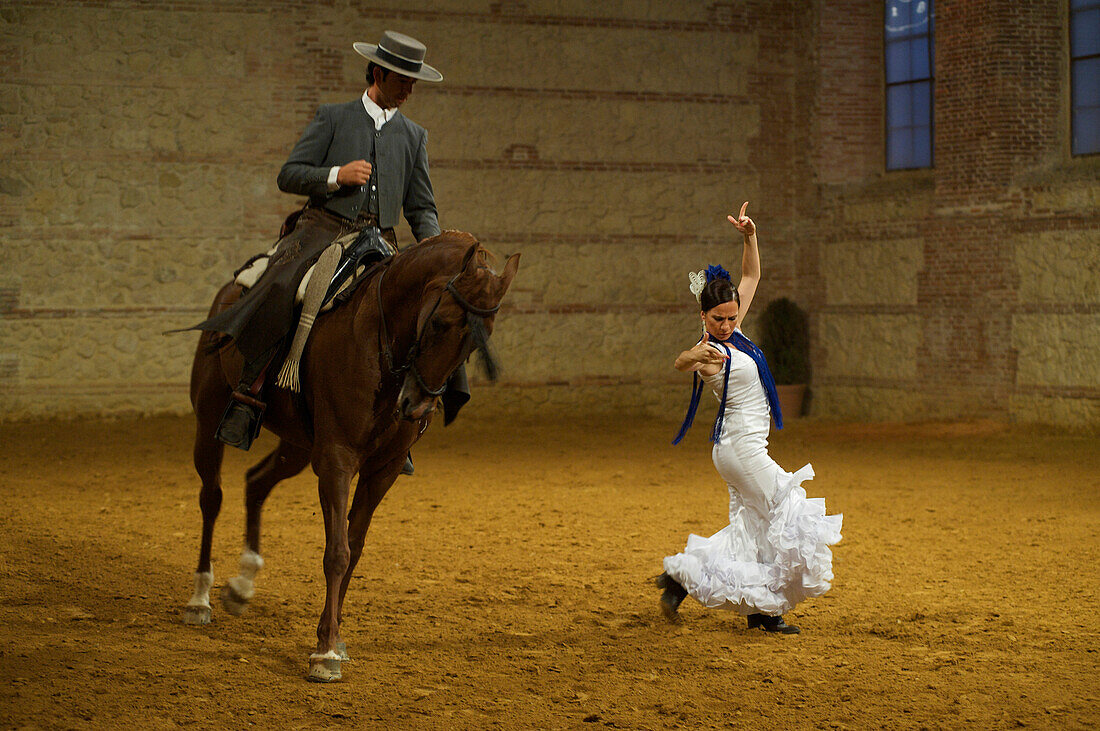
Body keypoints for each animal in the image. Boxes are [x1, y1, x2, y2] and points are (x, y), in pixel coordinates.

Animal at [180, 230, 519, 681]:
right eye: (439, 322)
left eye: (480, 338)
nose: (417, 406)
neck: (380, 343)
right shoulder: (337, 460)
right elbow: (337, 553)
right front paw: (324, 651)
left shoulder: (382, 469)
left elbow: (354, 548)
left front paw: (336, 638)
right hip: (210, 419)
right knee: (212, 498)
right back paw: (200, 597)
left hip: (298, 447)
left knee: (255, 484)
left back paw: (242, 584)